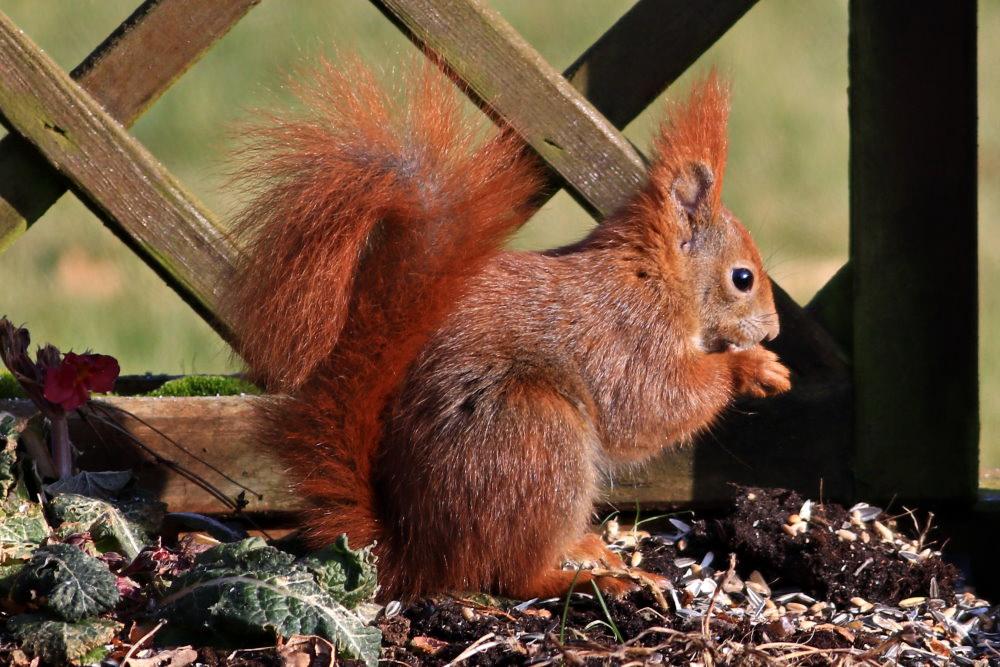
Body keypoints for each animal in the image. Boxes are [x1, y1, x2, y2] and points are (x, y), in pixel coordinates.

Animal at [225, 56, 788, 600]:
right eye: (742, 278)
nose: (773, 332)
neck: (653, 278)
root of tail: (419, 553)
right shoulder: (626, 334)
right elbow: (653, 405)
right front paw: (752, 367)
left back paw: (587, 548)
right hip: (534, 439)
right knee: (513, 578)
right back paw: (592, 581)